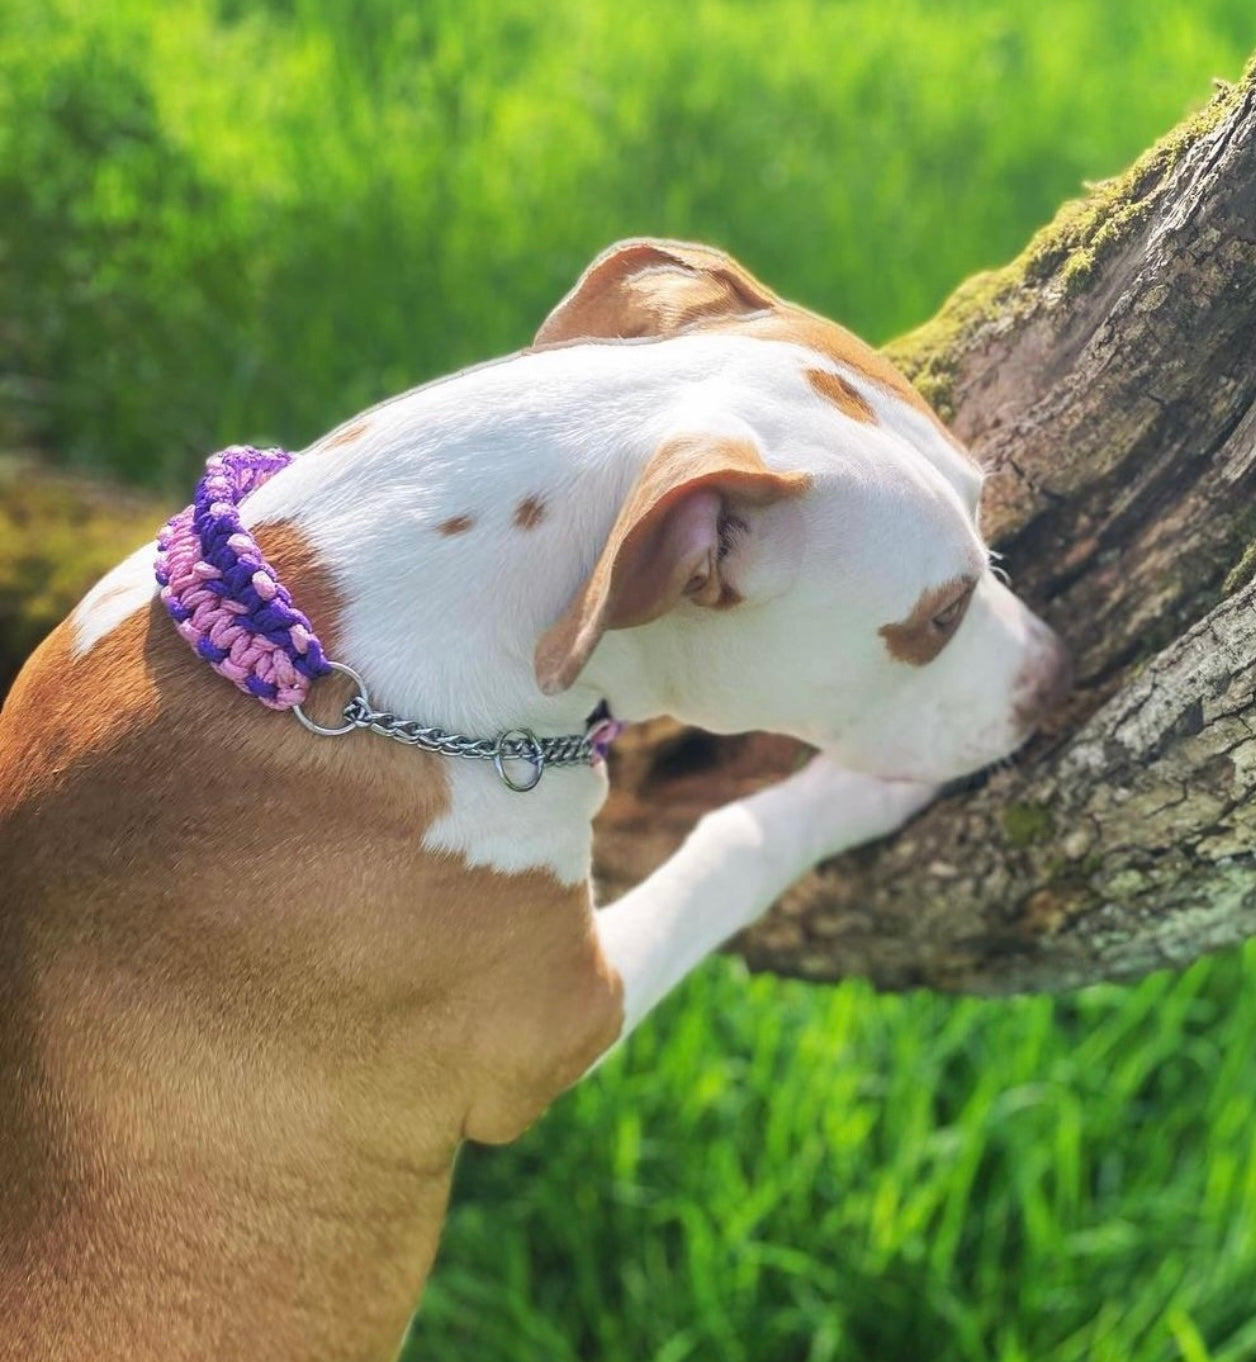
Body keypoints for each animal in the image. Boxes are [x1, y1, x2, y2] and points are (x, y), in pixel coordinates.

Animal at [0, 245, 1068, 1362]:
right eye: (939, 617)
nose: (1056, 671)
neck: (334, 655)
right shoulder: (562, 1023)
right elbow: (732, 838)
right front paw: (860, 789)